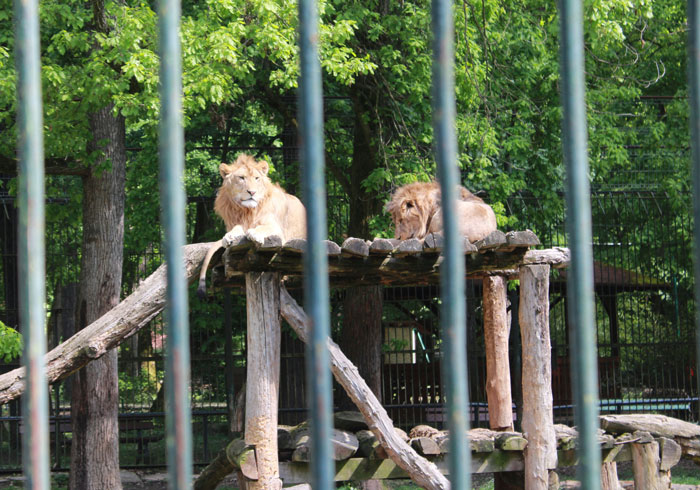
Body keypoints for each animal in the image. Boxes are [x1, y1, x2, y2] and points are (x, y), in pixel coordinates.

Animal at [197, 154, 306, 297]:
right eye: (241, 178)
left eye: (256, 178)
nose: (252, 192)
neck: (247, 211)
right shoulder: (238, 223)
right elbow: (236, 229)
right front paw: (228, 237)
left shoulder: (277, 229)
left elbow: (262, 227)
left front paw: (254, 233)